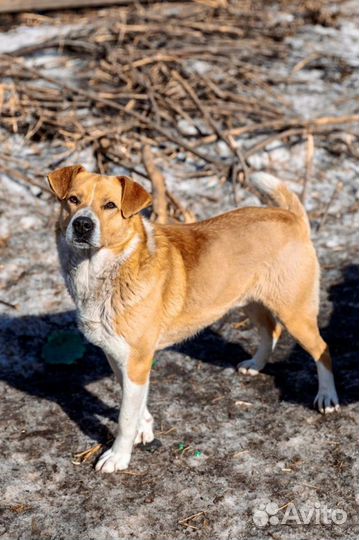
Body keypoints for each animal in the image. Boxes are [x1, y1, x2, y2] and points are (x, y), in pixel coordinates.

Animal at [47, 166, 340, 472]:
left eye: (110, 206)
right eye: (73, 199)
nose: (82, 225)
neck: (105, 271)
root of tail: (293, 217)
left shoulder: (136, 360)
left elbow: (125, 417)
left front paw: (118, 456)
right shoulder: (119, 357)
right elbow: (135, 404)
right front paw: (145, 428)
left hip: (295, 313)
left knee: (322, 349)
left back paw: (327, 397)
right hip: (247, 300)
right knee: (271, 330)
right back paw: (256, 364)